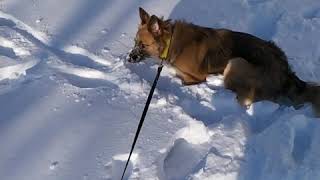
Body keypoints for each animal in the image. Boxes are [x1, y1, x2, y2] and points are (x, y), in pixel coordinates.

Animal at [128, 7, 320, 116]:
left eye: (143, 45)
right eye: (134, 42)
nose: (129, 58)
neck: (170, 40)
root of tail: (285, 72)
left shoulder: (196, 77)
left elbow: (183, 80)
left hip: (235, 63)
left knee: (242, 97)